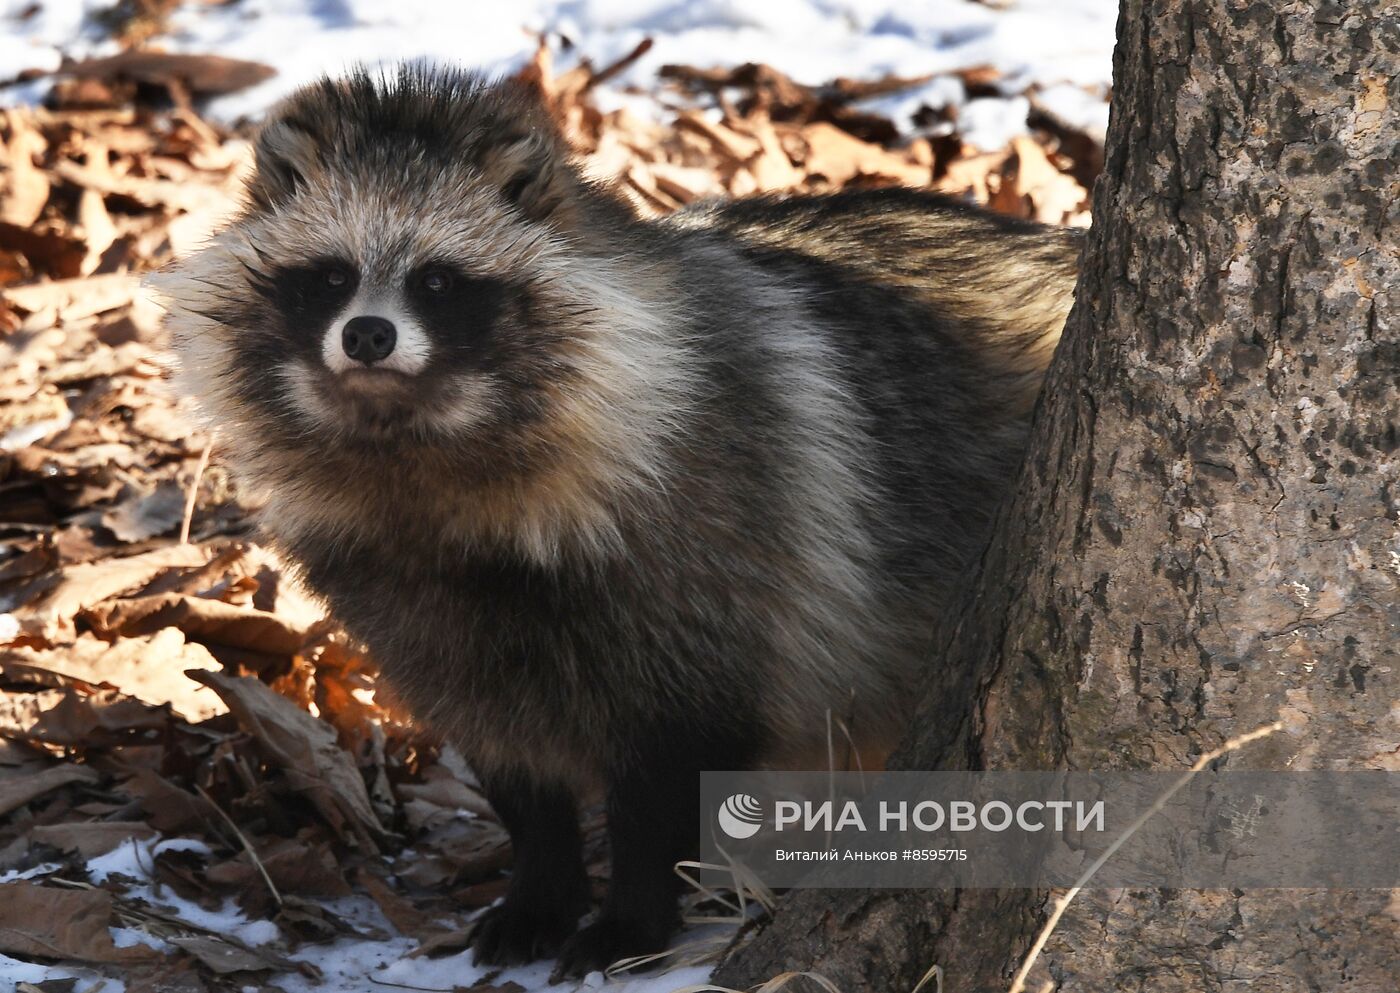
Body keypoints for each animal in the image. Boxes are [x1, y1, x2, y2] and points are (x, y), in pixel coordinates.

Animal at [156, 67, 1080, 974]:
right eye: (332, 276)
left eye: (438, 281)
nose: (369, 335)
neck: (423, 452)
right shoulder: (406, 589)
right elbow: (504, 747)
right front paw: (542, 878)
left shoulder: (714, 531)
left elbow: (672, 757)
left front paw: (635, 907)